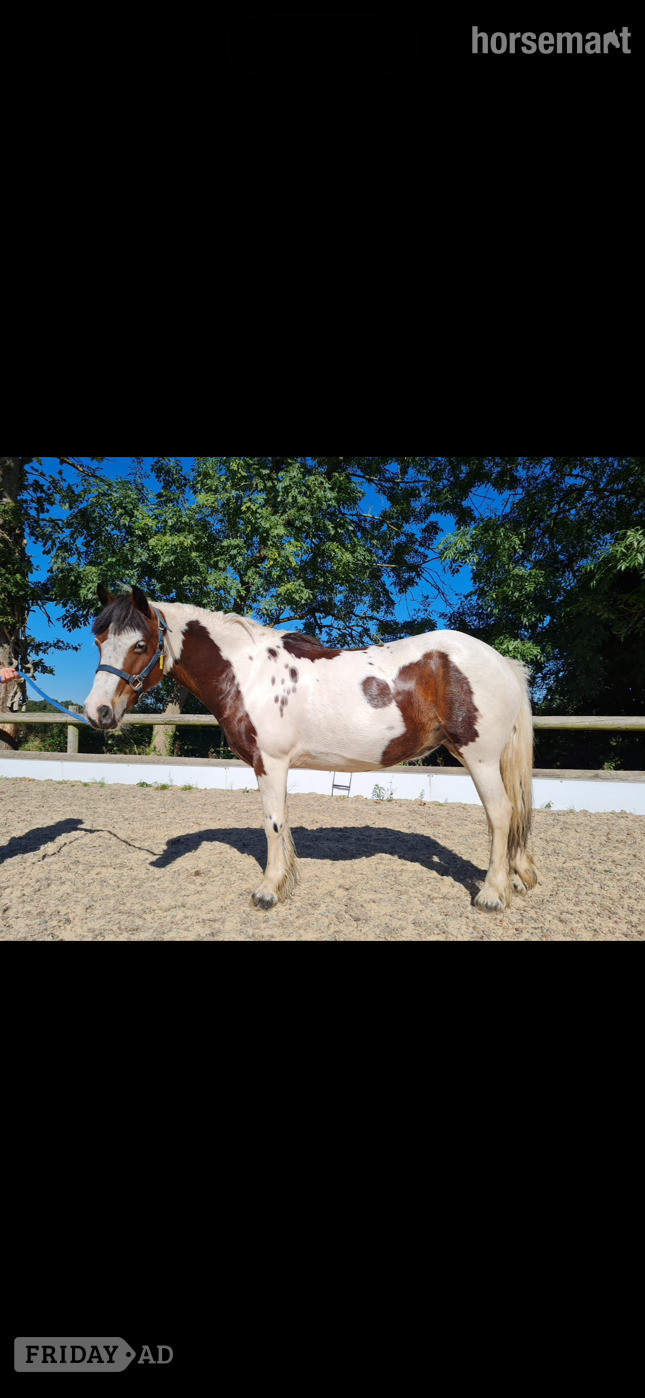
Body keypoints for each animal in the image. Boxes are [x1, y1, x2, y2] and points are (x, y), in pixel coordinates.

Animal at [84, 585, 538, 913]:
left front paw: (268, 891)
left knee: (501, 814)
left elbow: (273, 823)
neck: (249, 673)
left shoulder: (270, 763)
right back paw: (517, 878)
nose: (97, 712)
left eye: (140, 645)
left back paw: (491, 895)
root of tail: (501, 661)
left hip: (479, 757)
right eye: (100, 641)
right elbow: (281, 823)